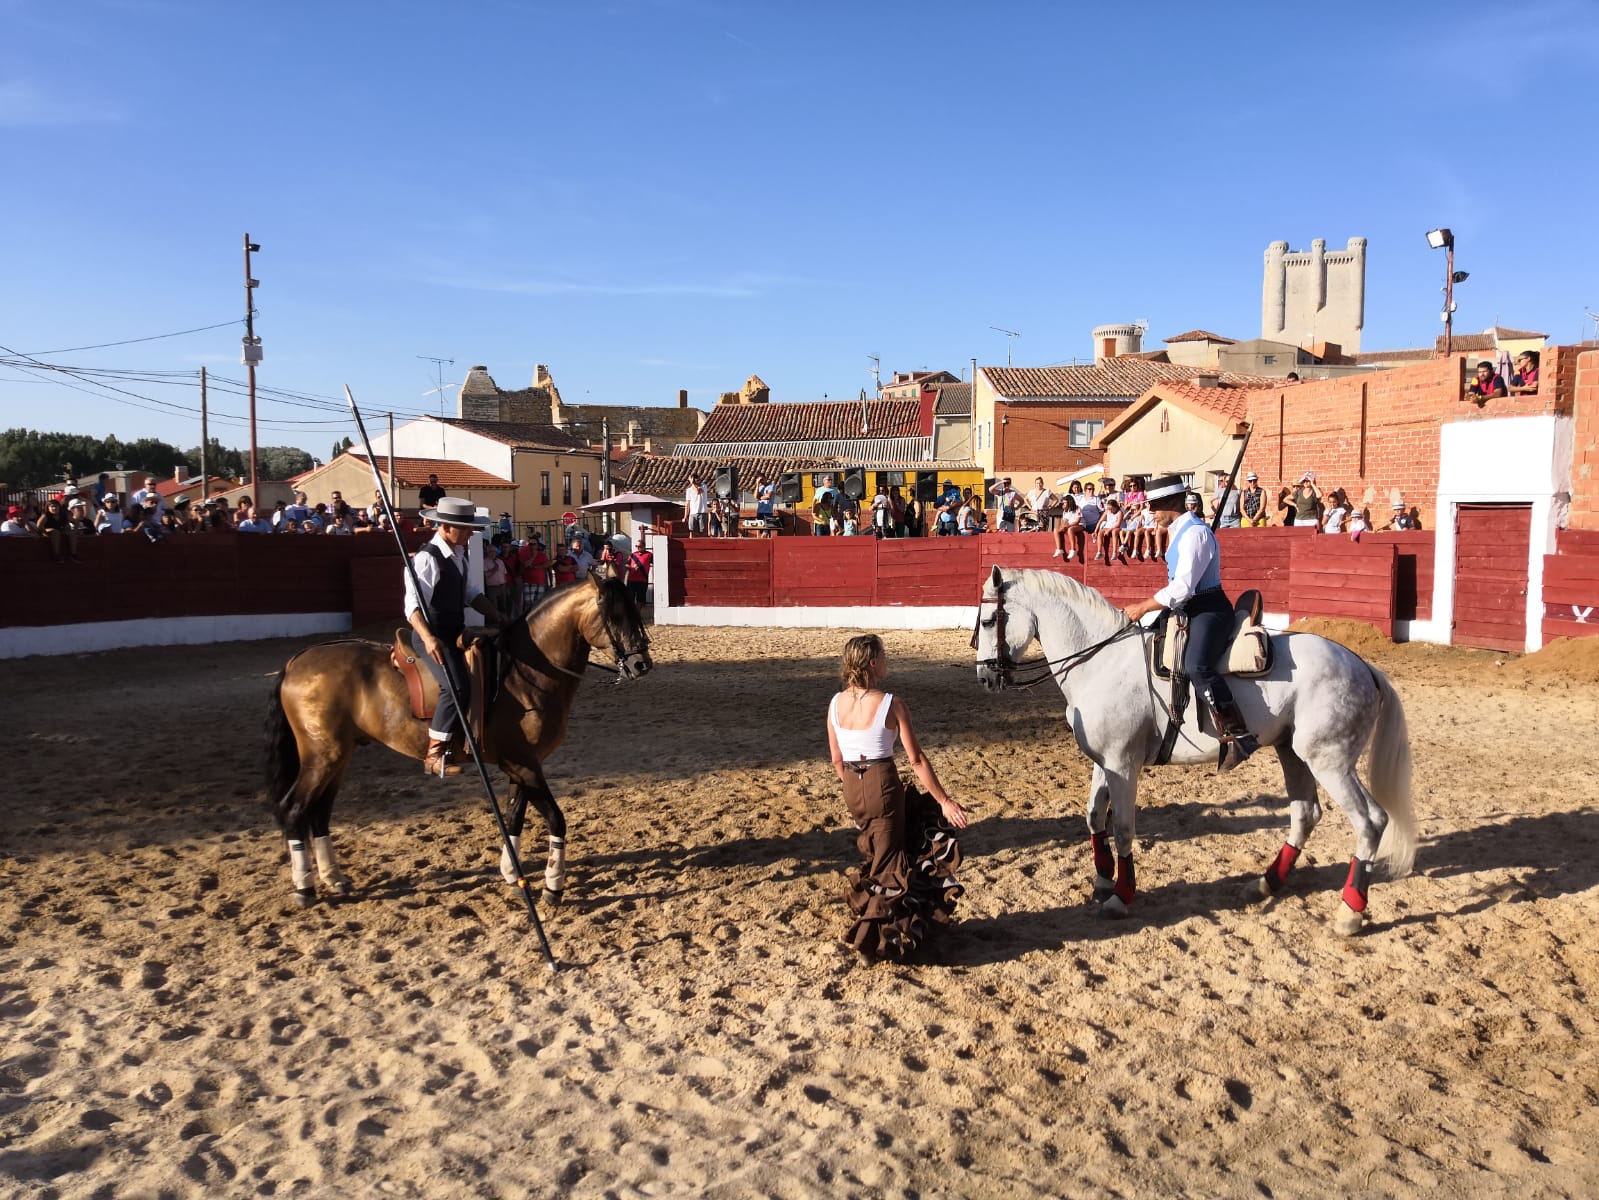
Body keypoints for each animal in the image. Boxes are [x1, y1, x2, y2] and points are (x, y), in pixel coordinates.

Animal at [265, 576, 652, 908]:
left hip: (339, 757)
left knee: (319, 814)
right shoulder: (523, 763)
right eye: (615, 614)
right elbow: (556, 820)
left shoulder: (522, 764)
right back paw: (304, 888)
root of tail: (297, 660)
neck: (525, 673)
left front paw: (512, 875)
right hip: (322, 756)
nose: (641, 664)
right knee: (294, 809)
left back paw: (333, 878)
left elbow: (514, 816)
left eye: (635, 609)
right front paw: (552, 888)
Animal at [972, 569, 1413, 934]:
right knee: (1305, 813)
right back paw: (1265, 883)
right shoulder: (1104, 761)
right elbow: (1095, 816)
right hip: (1293, 753)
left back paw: (1350, 912)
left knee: (1370, 821)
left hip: (1330, 762)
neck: (1101, 661)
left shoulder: (1123, 765)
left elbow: (1123, 827)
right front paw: (1101, 880)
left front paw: (1121, 896)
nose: (985, 679)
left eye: (990, 620)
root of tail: (1362, 666)